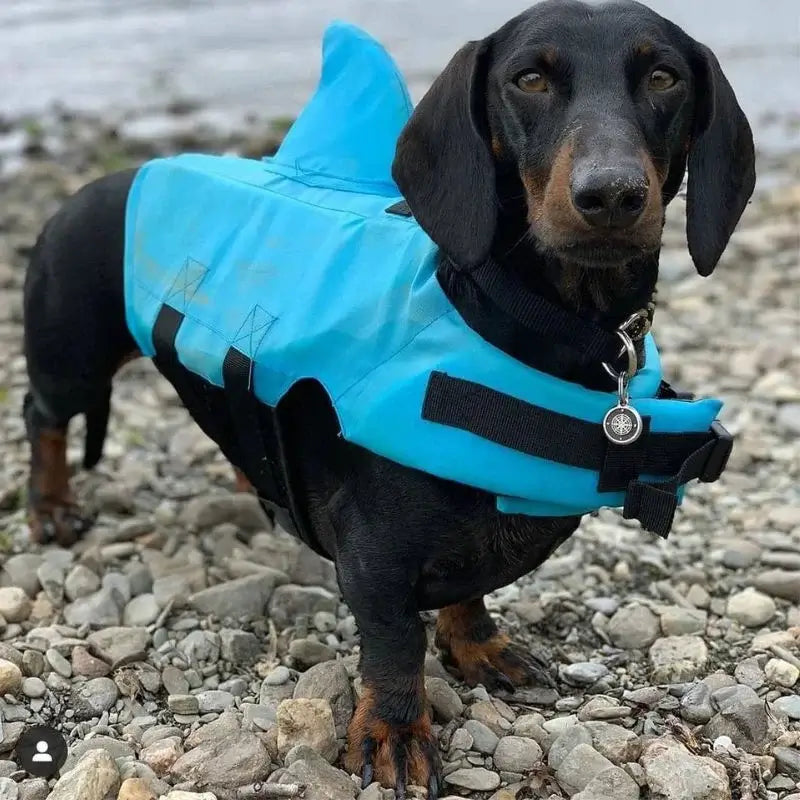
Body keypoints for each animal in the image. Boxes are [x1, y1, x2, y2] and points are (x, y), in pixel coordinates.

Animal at [21, 0, 752, 792]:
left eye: (664, 76)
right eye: (528, 78)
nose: (611, 194)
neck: (534, 323)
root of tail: (108, 180)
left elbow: (468, 589)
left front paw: (479, 644)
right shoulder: (374, 554)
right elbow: (397, 641)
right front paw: (397, 732)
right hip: (71, 360)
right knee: (43, 419)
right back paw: (51, 507)